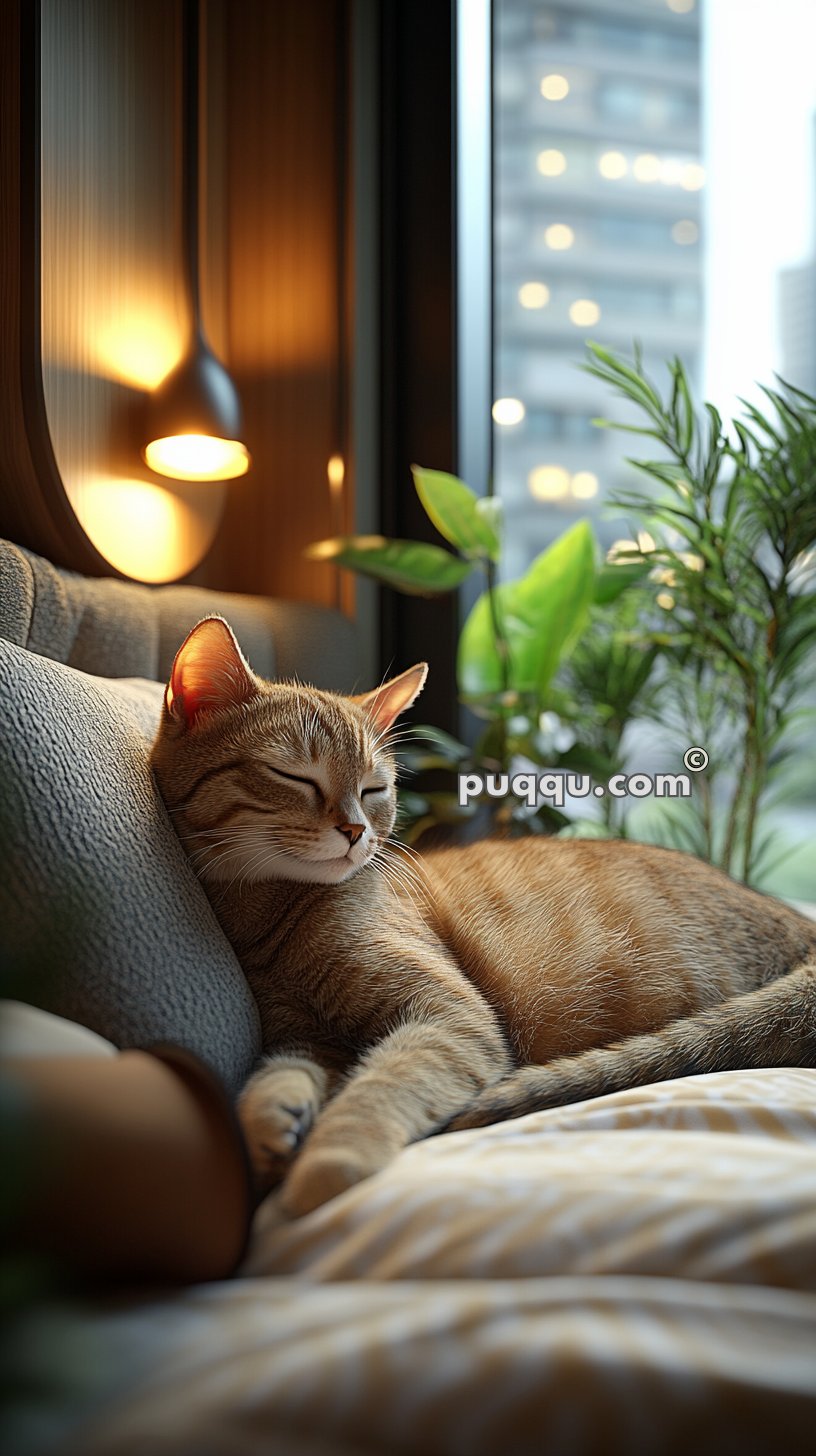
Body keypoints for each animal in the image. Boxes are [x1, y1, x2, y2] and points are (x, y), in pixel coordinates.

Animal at [151, 614, 816, 1217]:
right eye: (293, 775)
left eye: (373, 789)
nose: (356, 831)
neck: (273, 915)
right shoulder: (308, 1038)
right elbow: (277, 1074)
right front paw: (270, 1121)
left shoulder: (450, 1021)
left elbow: (376, 1092)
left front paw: (326, 1165)